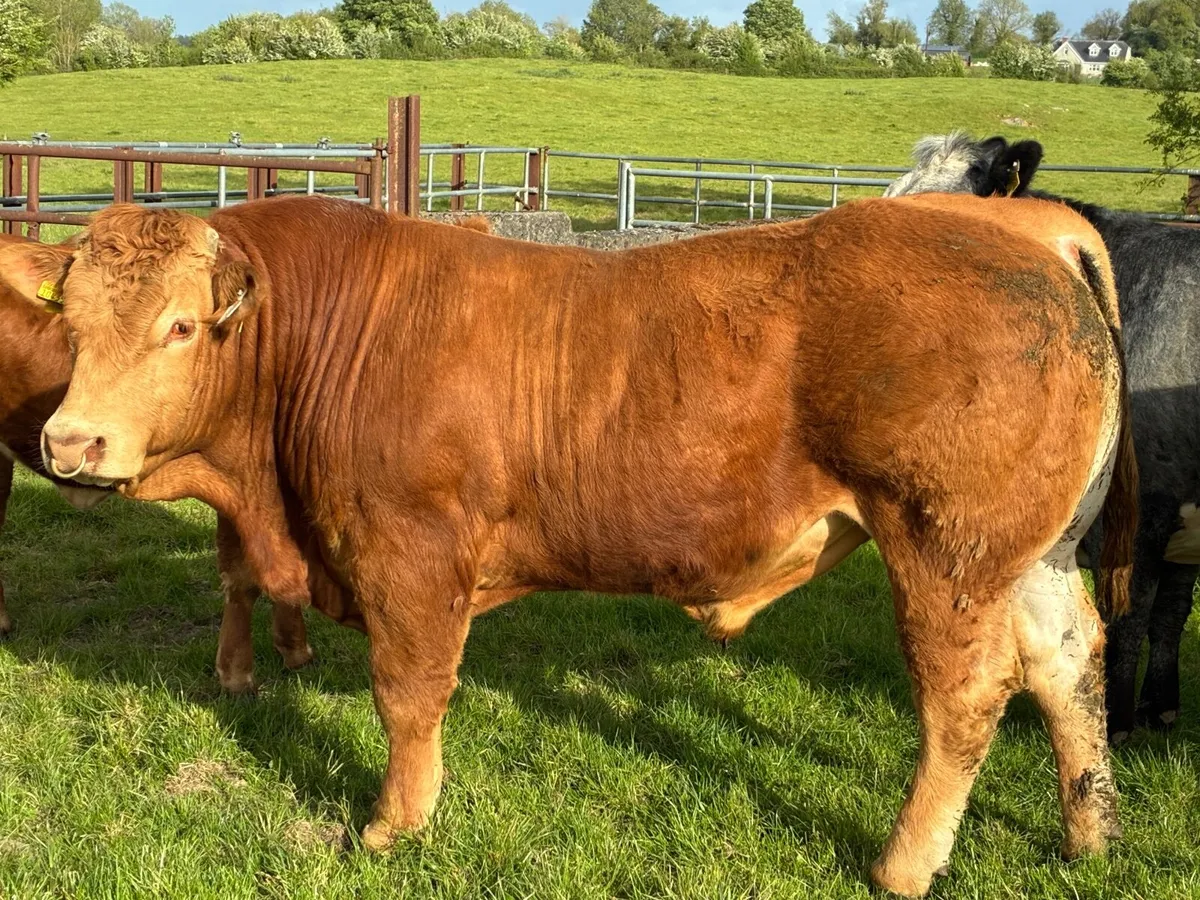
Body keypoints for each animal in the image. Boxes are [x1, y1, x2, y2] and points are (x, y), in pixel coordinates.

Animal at [1, 192, 1135, 897]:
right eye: (77, 323)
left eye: (182, 327)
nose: (71, 441)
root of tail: (1033, 236)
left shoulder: (410, 554)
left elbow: (407, 695)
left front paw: (391, 825)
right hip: (1032, 559)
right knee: (1067, 666)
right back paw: (1089, 835)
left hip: (947, 552)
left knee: (966, 698)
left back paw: (904, 864)